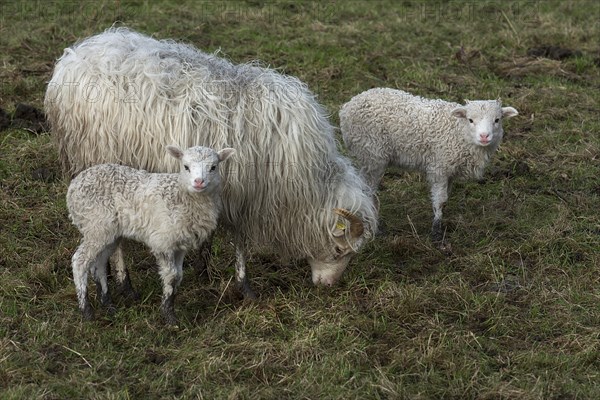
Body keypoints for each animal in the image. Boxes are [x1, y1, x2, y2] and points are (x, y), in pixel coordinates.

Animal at [45, 27, 376, 296]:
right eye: (338, 249)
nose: (327, 286)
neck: (303, 184)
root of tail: (73, 57)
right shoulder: (244, 193)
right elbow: (240, 241)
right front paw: (244, 286)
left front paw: (203, 268)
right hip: (97, 161)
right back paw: (125, 282)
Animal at [66, 144, 234, 324]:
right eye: (186, 167)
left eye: (213, 167)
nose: (199, 182)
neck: (182, 197)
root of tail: (73, 187)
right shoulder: (163, 241)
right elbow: (171, 276)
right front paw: (169, 316)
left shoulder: (180, 244)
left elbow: (179, 276)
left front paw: (170, 308)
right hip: (95, 225)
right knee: (79, 261)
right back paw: (86, 311)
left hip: (109, 232)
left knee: (99, 264)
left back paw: (108, 305)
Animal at [340, 89, 516, 248]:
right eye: (470, 120)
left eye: (497, 120)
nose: (484, 136)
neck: (458, 132)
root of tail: (347, 106)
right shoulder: (439, 167)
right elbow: (440, 200)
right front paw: (436, 232)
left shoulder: (449, 171)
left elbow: (445, 198)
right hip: (372, 154)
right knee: (367, 189)